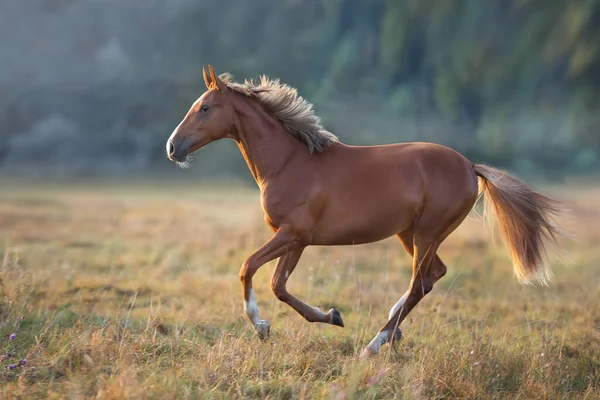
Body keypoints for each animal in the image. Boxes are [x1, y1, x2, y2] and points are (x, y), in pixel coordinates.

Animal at [164, 67, 564, 358]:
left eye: (204, 107)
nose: (172, 147)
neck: (289, 162)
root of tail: (470, 166)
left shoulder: (294, 234)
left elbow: (251, 269)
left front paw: (266, 326)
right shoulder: (296, 240)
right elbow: (278, 285)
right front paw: (329, 316)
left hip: (427, 233)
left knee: (419, 282)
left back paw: (375, 344)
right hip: (410, 233)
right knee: (432, 276)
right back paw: (392, 328)